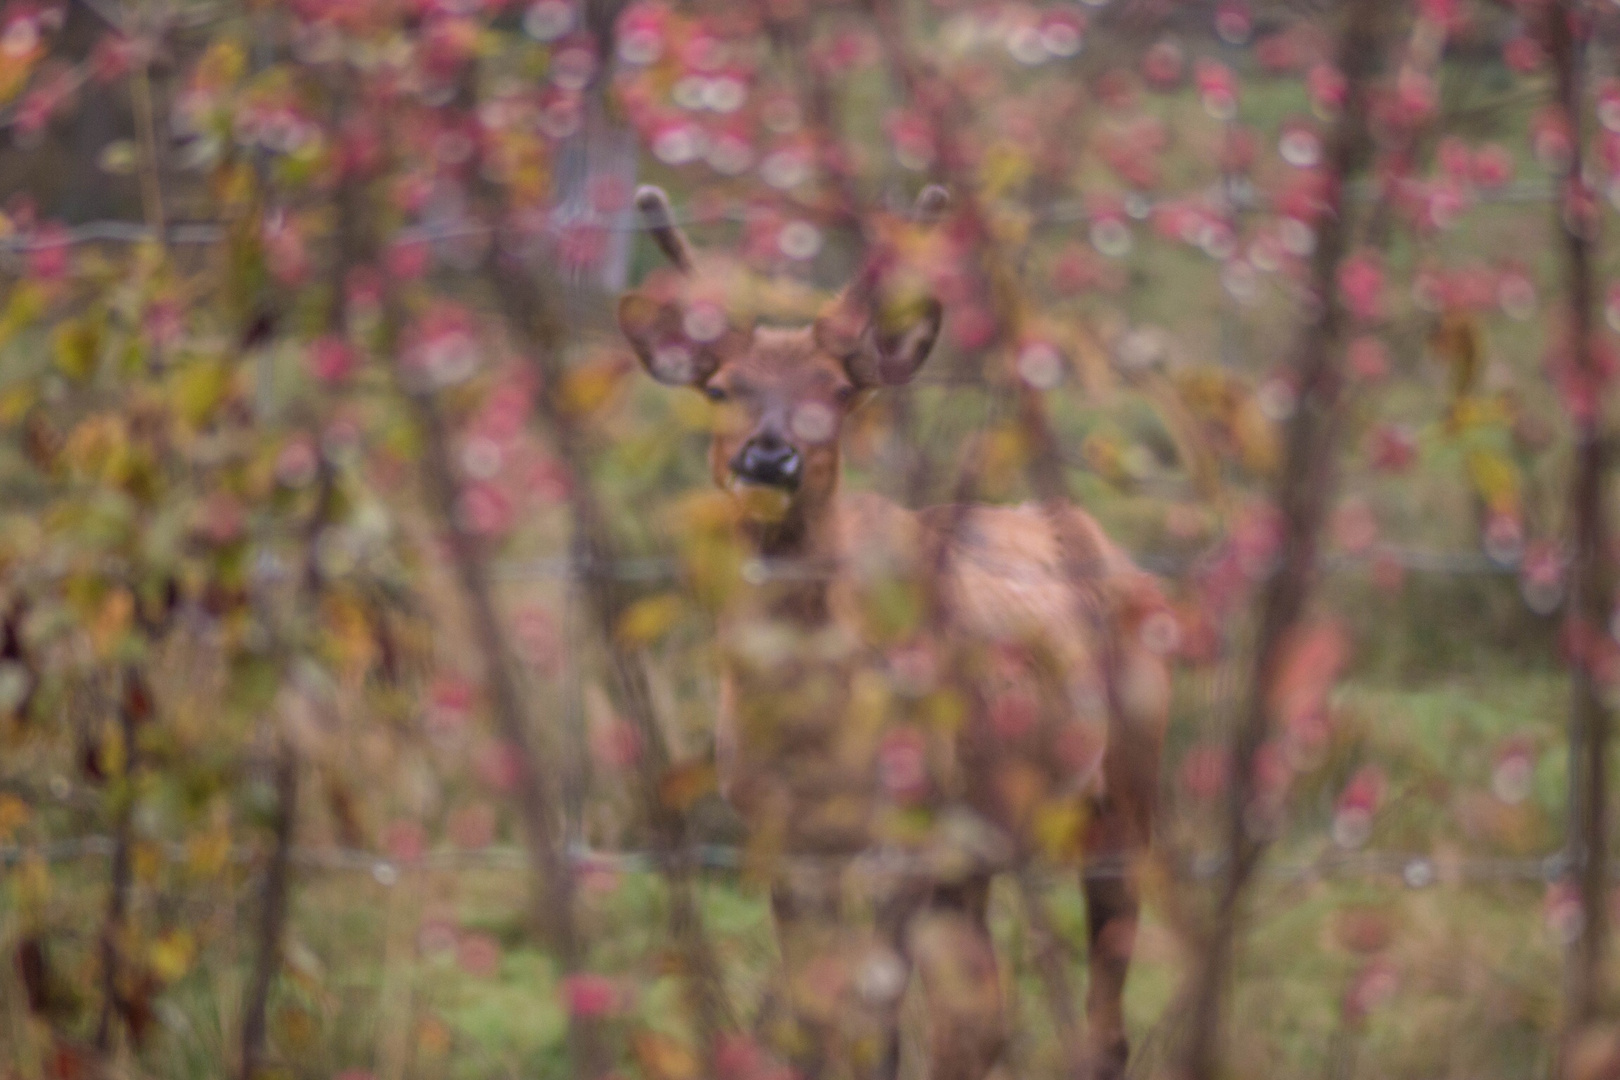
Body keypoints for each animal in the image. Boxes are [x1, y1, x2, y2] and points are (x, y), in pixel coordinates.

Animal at [622, 187, 1179, 1080]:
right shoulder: (782, 834)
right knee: (978, 1022)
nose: (768, 458)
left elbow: (872, 1026)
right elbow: (814, 1024)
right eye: (722, 387)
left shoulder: (902, 831)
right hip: (975, 843)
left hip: (1125, 778)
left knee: (1104, 1020)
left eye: (838, 389)